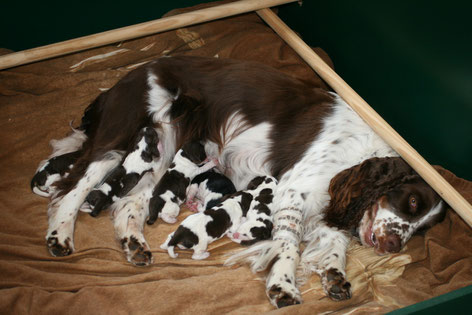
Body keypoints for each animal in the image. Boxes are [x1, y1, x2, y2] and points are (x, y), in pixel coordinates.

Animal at [32, 55, 446, 308]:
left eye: (424, 229)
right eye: (412, 202)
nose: (393, 246)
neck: (359, 153)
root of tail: (124, 79)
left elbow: (335, 245)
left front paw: (335, 274)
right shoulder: (293, 191)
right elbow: (289, 246)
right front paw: (283, 284)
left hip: (160, 153)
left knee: (129, 202)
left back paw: (135, 244)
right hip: (121, 140)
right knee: (74, 188)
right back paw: (60, 236)